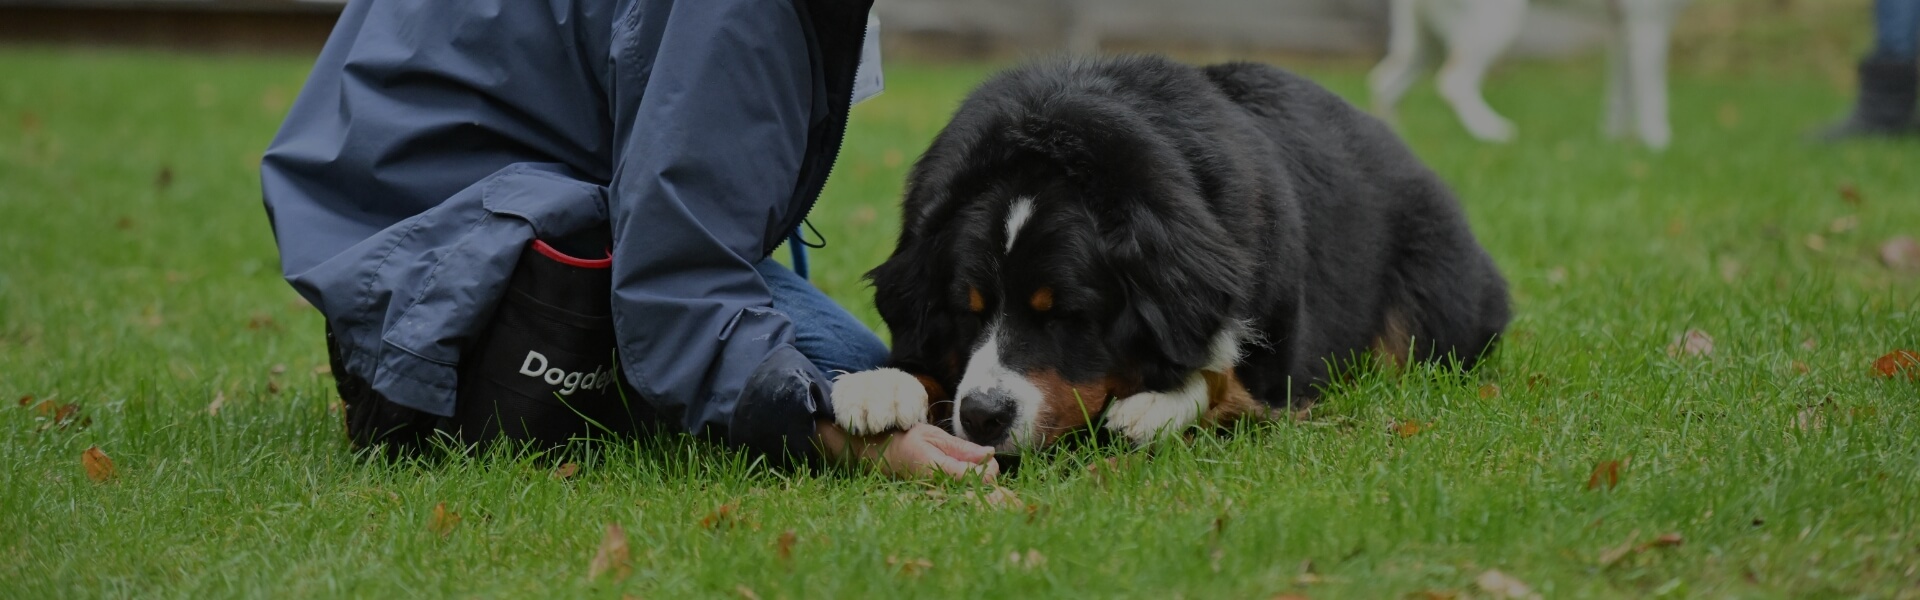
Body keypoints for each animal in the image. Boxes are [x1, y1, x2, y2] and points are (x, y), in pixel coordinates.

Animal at [831, 56, 1511, 452]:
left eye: (1067, 316)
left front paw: (1155, 405)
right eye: (965, 310)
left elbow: (1220, 373)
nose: (983, 418)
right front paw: (880, 385)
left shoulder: (1277, 370)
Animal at [1368, 0, 1688, 149]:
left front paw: (1615, 142)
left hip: (1424, 43)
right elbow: (1654, 97)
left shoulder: (1622, 30)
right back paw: (1491, 130)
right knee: (1453, 80)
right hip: (1497, 21)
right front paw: (1660, 145)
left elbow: (1622, 97)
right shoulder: (1647, 23)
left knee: (1384, 81)